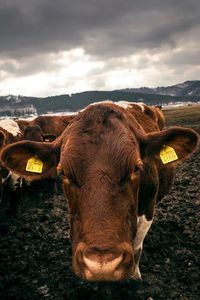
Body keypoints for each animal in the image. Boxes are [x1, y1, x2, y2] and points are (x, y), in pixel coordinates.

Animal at [0, 103, 199, 282]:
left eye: (136, 168)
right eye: (63, 172)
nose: (102, 266)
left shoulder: (147, 209)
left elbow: (136, 248)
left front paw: (133, 276)